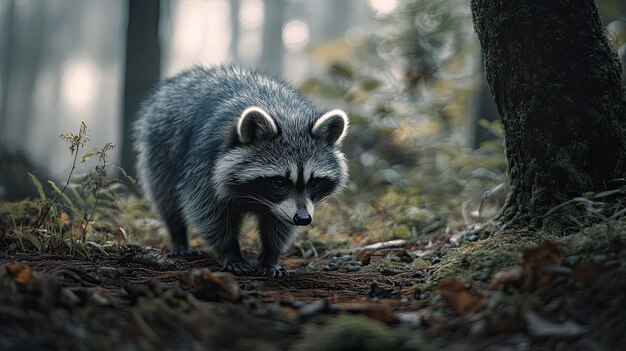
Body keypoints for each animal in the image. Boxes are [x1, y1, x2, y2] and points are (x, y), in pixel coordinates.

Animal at [133, 66, 346, 278]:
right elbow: (209, 211)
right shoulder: (205, 163)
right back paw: (178, 235)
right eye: (279, 182)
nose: (303, 219)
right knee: (166, 196)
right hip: (162, 146)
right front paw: (231, 252)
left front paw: (270, 255)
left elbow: (279, 224)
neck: (285, 115)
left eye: (313, 182)